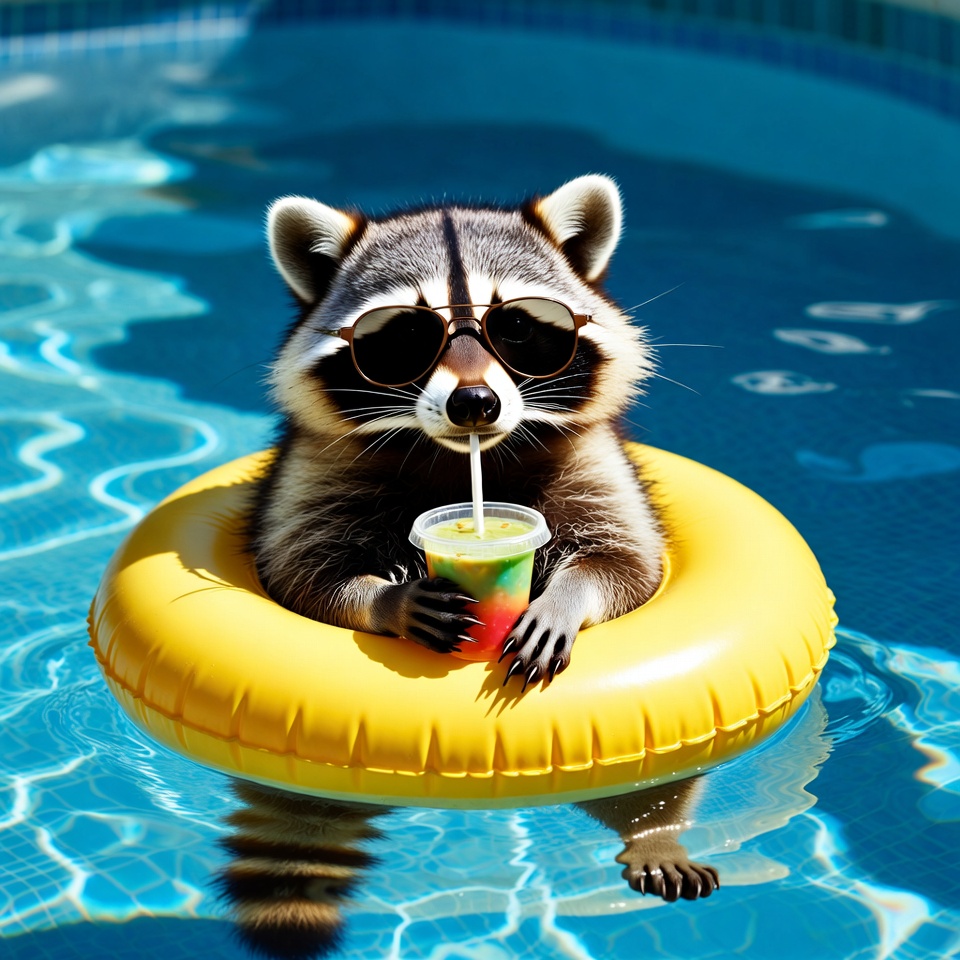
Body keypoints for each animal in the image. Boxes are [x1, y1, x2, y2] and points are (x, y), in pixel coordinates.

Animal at [248, 174, 664, 685]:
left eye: (517, 325)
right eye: (408, 334)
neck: (457, 456)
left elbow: (626, 563)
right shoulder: (317, 467)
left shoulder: (589, 460)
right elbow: (302, 574)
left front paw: (565, 597)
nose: (474, 402)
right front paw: (385, 599)